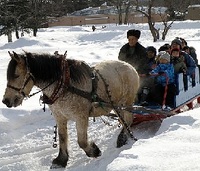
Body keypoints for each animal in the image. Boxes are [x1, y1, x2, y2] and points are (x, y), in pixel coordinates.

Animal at [1, 51, 139, 168]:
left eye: (17, 75)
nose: (6, 101)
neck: (65, 85)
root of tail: (130, 66)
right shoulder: (59, 116)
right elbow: (62, 137)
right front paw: (61, 160)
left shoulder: (81, 117)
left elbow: (82, 141)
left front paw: (94, 151)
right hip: (116, 105)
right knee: (124, 119)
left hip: (125, 102)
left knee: (128, 119)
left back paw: (122, 138)